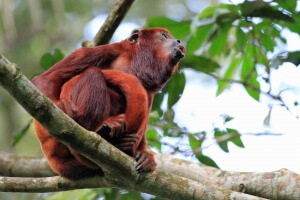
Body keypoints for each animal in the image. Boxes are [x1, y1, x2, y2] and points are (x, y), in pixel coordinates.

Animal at [31, 27, 184, 179]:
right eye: (164, 36)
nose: (179, 41)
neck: (134, 63)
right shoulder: (104, 51)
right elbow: (47, 79)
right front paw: (62, 106)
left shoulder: (150, 92)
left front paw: (145, 157)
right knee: (93, 74)